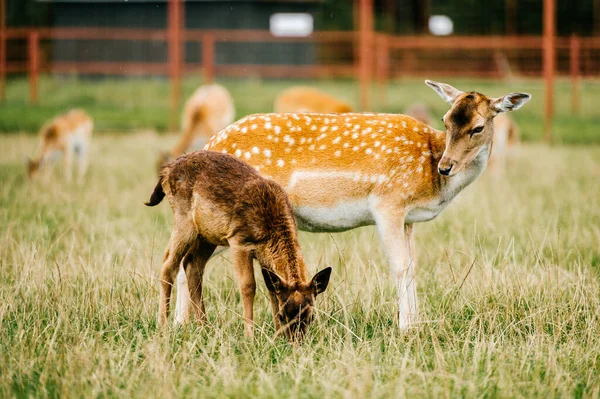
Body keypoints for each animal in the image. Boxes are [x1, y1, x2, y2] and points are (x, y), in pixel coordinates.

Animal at [146, 150, 332, 340]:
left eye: (311, 316)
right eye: (283, 315)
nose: (296, 342)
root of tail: (166, 171)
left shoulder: (264, 256)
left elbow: (272, 290)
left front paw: (276, 334)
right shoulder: (239, 240)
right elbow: (248, 286)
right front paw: (250, 335)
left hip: (207, 235)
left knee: (192, 265)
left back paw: (204, 326)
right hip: (184, 220)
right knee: (168, 264)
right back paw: (163, 325)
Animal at [198, 79, 536, 330]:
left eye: (477, 127)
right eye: (446, 120)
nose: (446, 166)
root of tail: (210, 142)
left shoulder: (409, 218)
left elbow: (413, 266)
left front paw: (415, 324)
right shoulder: (388, 203)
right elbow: (400, 266)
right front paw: (405, 329)